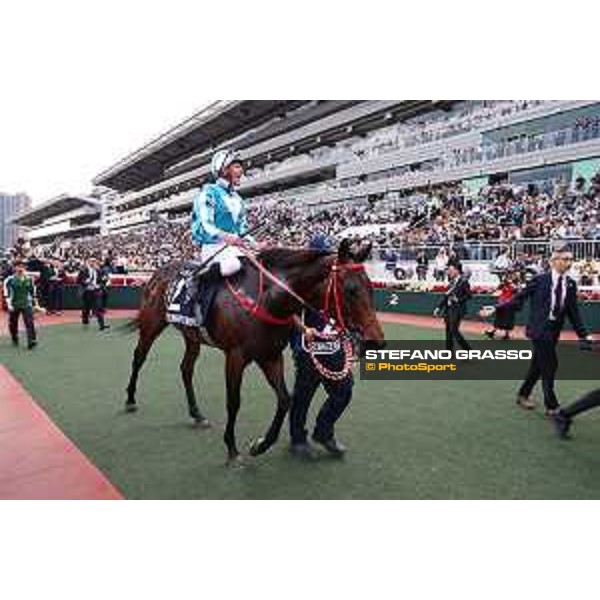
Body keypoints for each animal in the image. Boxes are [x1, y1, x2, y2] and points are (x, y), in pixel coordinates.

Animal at [124, 239, 384, 464]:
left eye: (371, 288)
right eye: (350, 289)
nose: (376, 342)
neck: (266, 299)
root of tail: (159, 272)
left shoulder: (270, 356)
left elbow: (285, 399)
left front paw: (260, 445)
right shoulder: (235, 357)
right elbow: (234, 401)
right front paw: (232, 449)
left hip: (192, 336)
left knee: (186, 369)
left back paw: (197, 414)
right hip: (151, 324)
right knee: (138, 358)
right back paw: (130, 400)